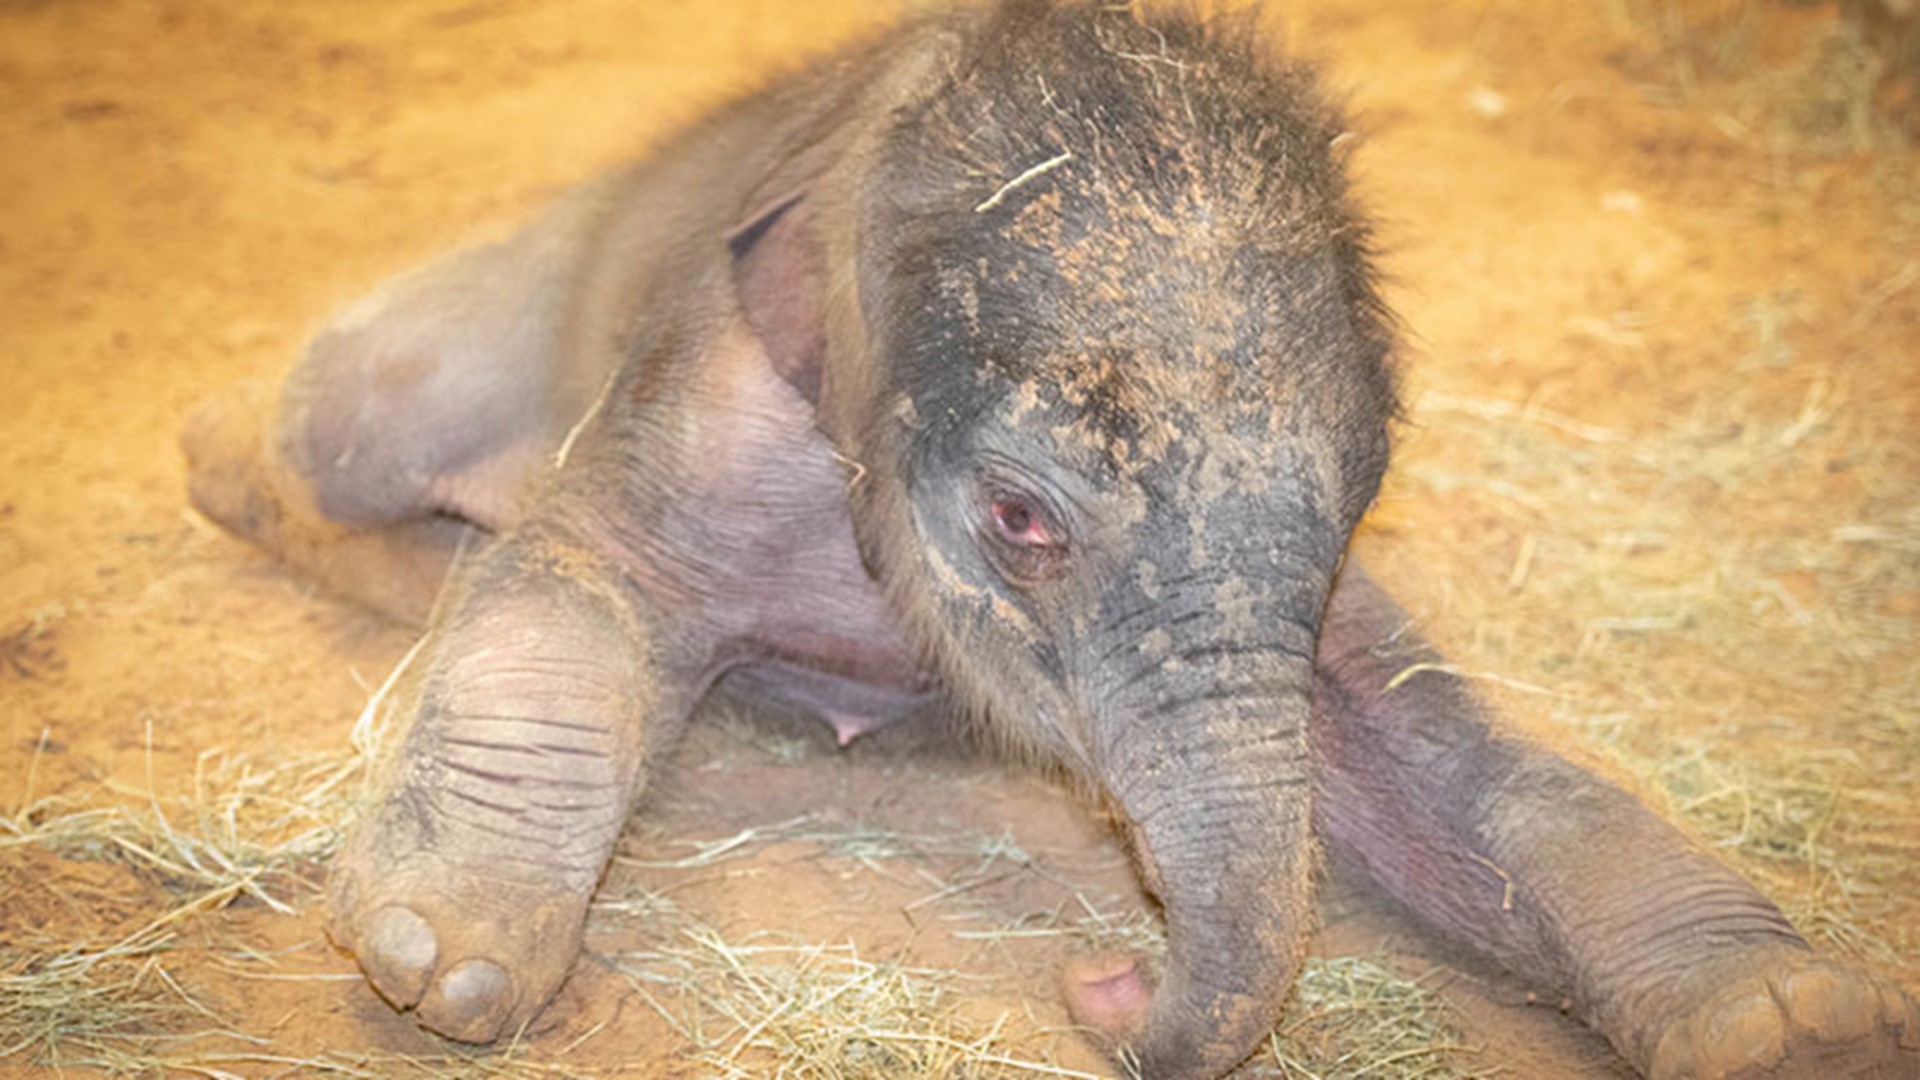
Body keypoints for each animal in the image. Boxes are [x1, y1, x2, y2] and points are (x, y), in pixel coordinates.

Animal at [180, 2, 1920, 1076]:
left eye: (1367, 495)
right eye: (1021, 517)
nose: (1103, 981)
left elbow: (1425, 738)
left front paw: (1791, 1024)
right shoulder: (703, 392)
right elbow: (576, 572)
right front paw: (443, 961)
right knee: (341, 419)